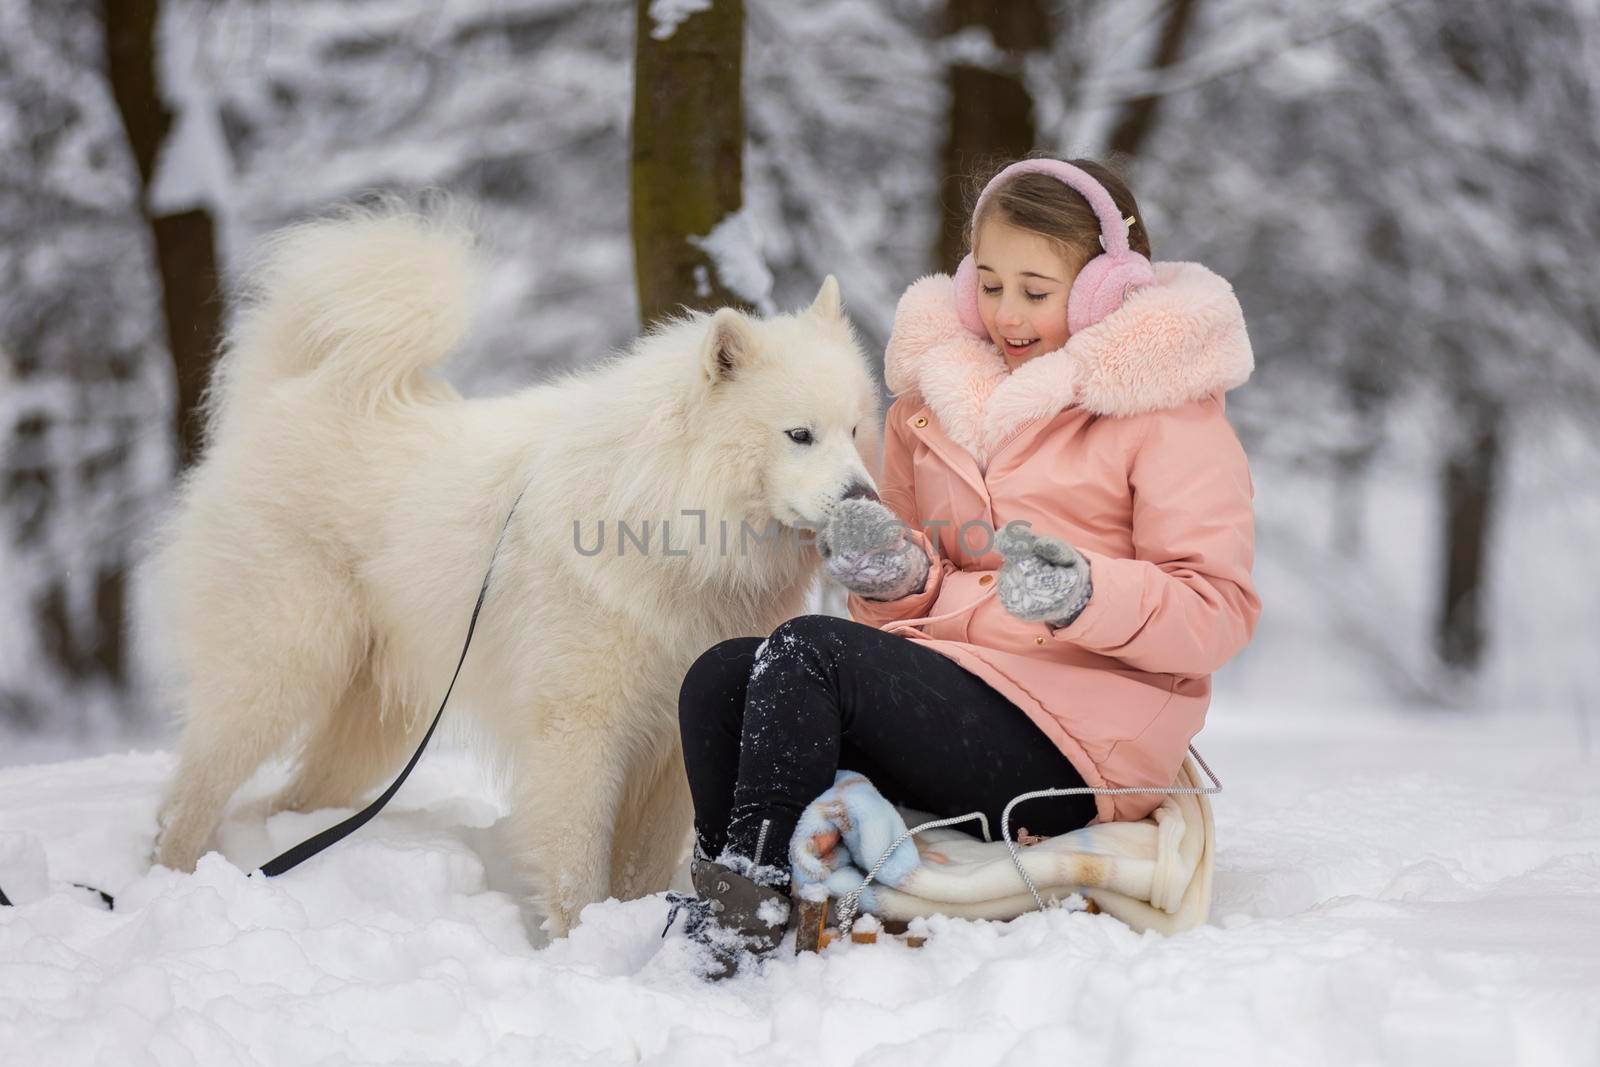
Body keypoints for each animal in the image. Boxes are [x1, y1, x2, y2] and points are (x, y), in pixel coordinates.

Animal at [150, 202, 883, 934]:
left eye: (855, 431)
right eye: (799, 435)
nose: (866, 498)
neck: (669, 520)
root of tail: (296, 393)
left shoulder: (674, 742)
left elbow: (642, 864)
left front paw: (628, 922)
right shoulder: (580, 732)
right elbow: (577, 864)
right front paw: (582, 939)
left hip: (376, 723)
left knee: (295, 799)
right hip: (279, 672)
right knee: (190, 796)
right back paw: (176, 876)